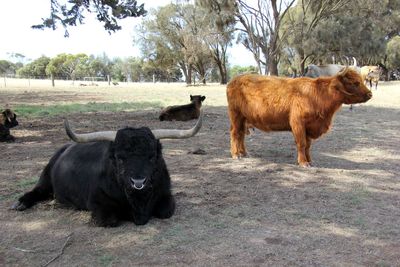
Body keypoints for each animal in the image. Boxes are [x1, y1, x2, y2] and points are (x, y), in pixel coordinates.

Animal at [12, 111, 203, 228]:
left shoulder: (166, 195)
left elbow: (166, 211)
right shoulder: (98, 204)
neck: (138, 202)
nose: (138, 181)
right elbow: (110, 220)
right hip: (45, 178)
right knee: (37, 191)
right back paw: (21, 203)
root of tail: (64, 148)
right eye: (120, 157)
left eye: (152, 156)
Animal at [227, 67, 374, 168]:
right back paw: (235, 155)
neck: (318, 95)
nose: (370, 94)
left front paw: (310, 160)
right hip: (236, 115)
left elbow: (308, 146)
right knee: (235, 133)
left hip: (243, 118)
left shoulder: (309, 127)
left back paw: (244, 153)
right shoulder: (298, 123)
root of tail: (234, 80)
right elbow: (301, 143)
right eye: (355, 83)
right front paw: (303, 162)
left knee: (241, 134)